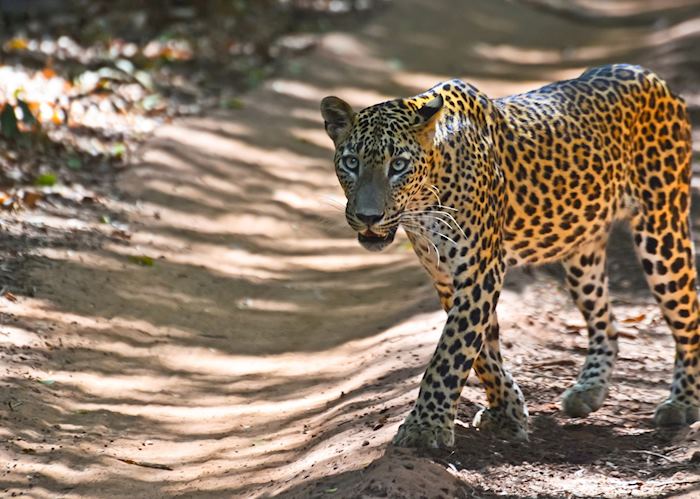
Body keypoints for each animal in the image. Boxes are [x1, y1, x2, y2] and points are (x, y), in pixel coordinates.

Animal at [320, 64, 699, 448]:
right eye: (350, 162)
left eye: (398, 165)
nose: (369, 216)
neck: (425, 197)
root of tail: (649, 75)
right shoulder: (447, 277)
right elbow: (481, 352)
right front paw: (508, 411)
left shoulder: (480, 270)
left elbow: (450, 353)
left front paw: (426, 427)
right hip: (583, 254)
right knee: (605, 321)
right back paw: (589, 389)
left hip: (662, 232)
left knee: (687, 315)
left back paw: (683, 402)